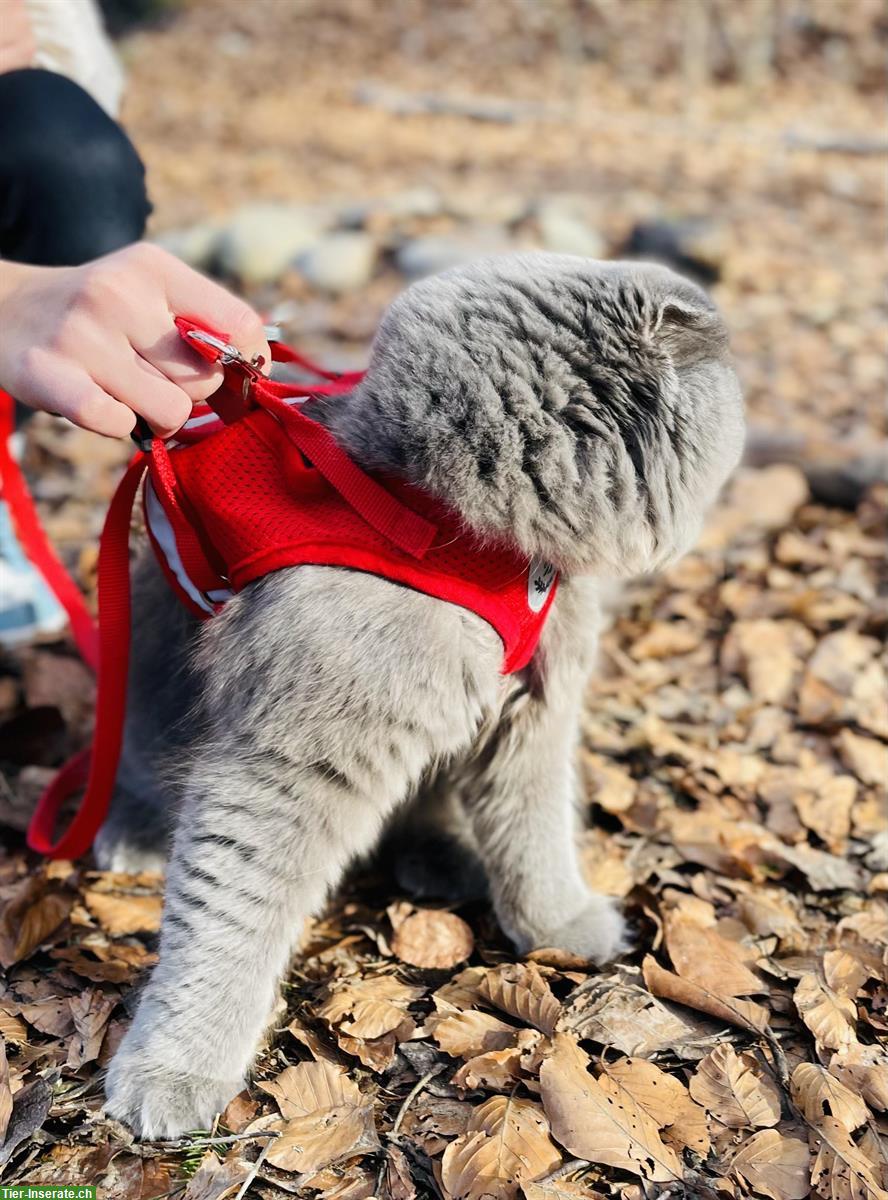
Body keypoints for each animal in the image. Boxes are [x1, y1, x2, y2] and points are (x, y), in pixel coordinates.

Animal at [100, 253, 744, 1132]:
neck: (448, 529)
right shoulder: (287, 761)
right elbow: (228, 916)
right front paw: (173, 1072)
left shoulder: (534, 719)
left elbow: (536, 837)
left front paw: (560, 924)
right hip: (155, 688)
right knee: (136, 769)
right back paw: (133, 836)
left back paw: (441, 859)